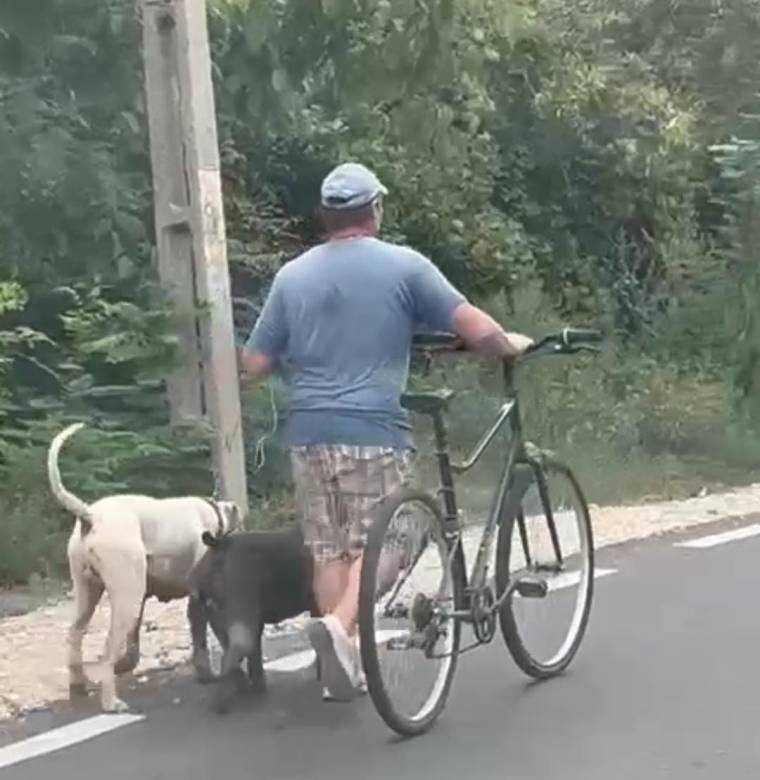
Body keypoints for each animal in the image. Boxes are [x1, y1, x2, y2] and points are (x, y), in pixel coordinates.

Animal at [49, 424, 239, 716]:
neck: (210, 513)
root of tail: (91, 515)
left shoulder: (143, 601)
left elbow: (134, 642)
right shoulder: (197, 601)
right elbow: (200, 640)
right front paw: (206, 674)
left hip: (89, 593)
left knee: (74, 636)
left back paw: (78, 686)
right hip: (126, 596)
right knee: (106, 650)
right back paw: (111, 702)